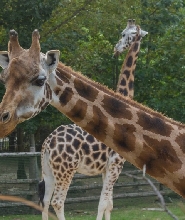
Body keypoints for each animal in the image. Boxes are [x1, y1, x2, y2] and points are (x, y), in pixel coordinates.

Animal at [0, 26, 185, 199]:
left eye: (40, 80)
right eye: (4, 79)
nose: (3, 124)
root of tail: (46, 144)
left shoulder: (112, 167)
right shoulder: (114, 165)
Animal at [39, 20, 147, 220]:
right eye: (123, 33)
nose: (116, 49)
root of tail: (47, 144)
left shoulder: (107, 168)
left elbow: (109, 204)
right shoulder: (116, 164)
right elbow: (103, 203)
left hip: (48, 169)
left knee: (45, 200)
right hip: (66, 170)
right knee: (58, 201)